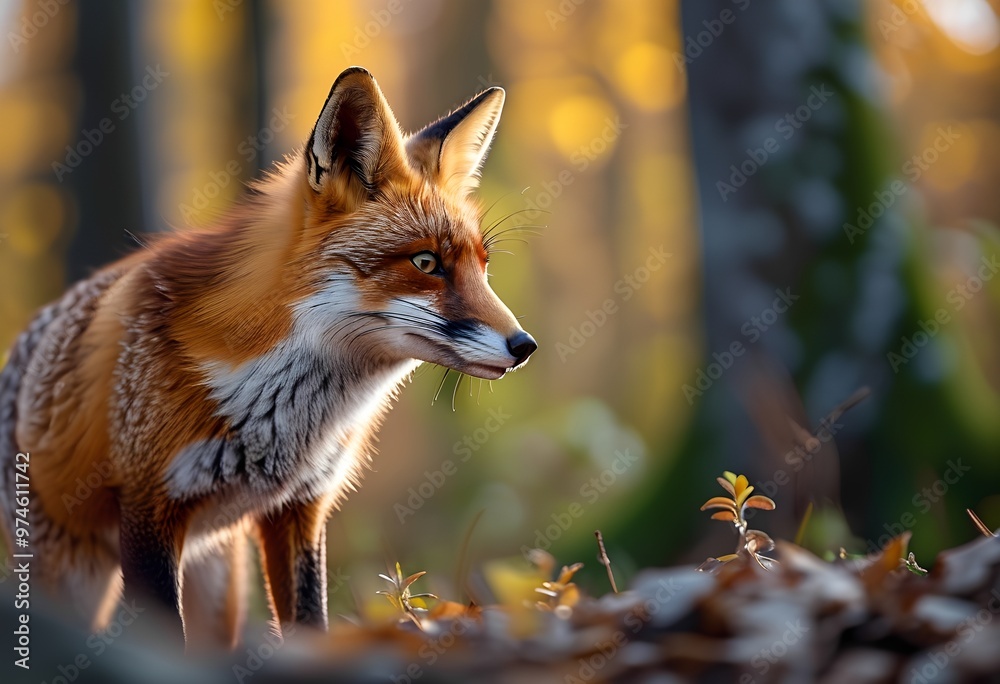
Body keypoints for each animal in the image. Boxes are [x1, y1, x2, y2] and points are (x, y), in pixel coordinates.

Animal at [0, 66, 536, 647]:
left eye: (483, 264)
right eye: (426, 263)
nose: (524, 346)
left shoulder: (300, 509)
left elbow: (309, 623)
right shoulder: (147, 508)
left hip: (219, 586)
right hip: (77, 579)